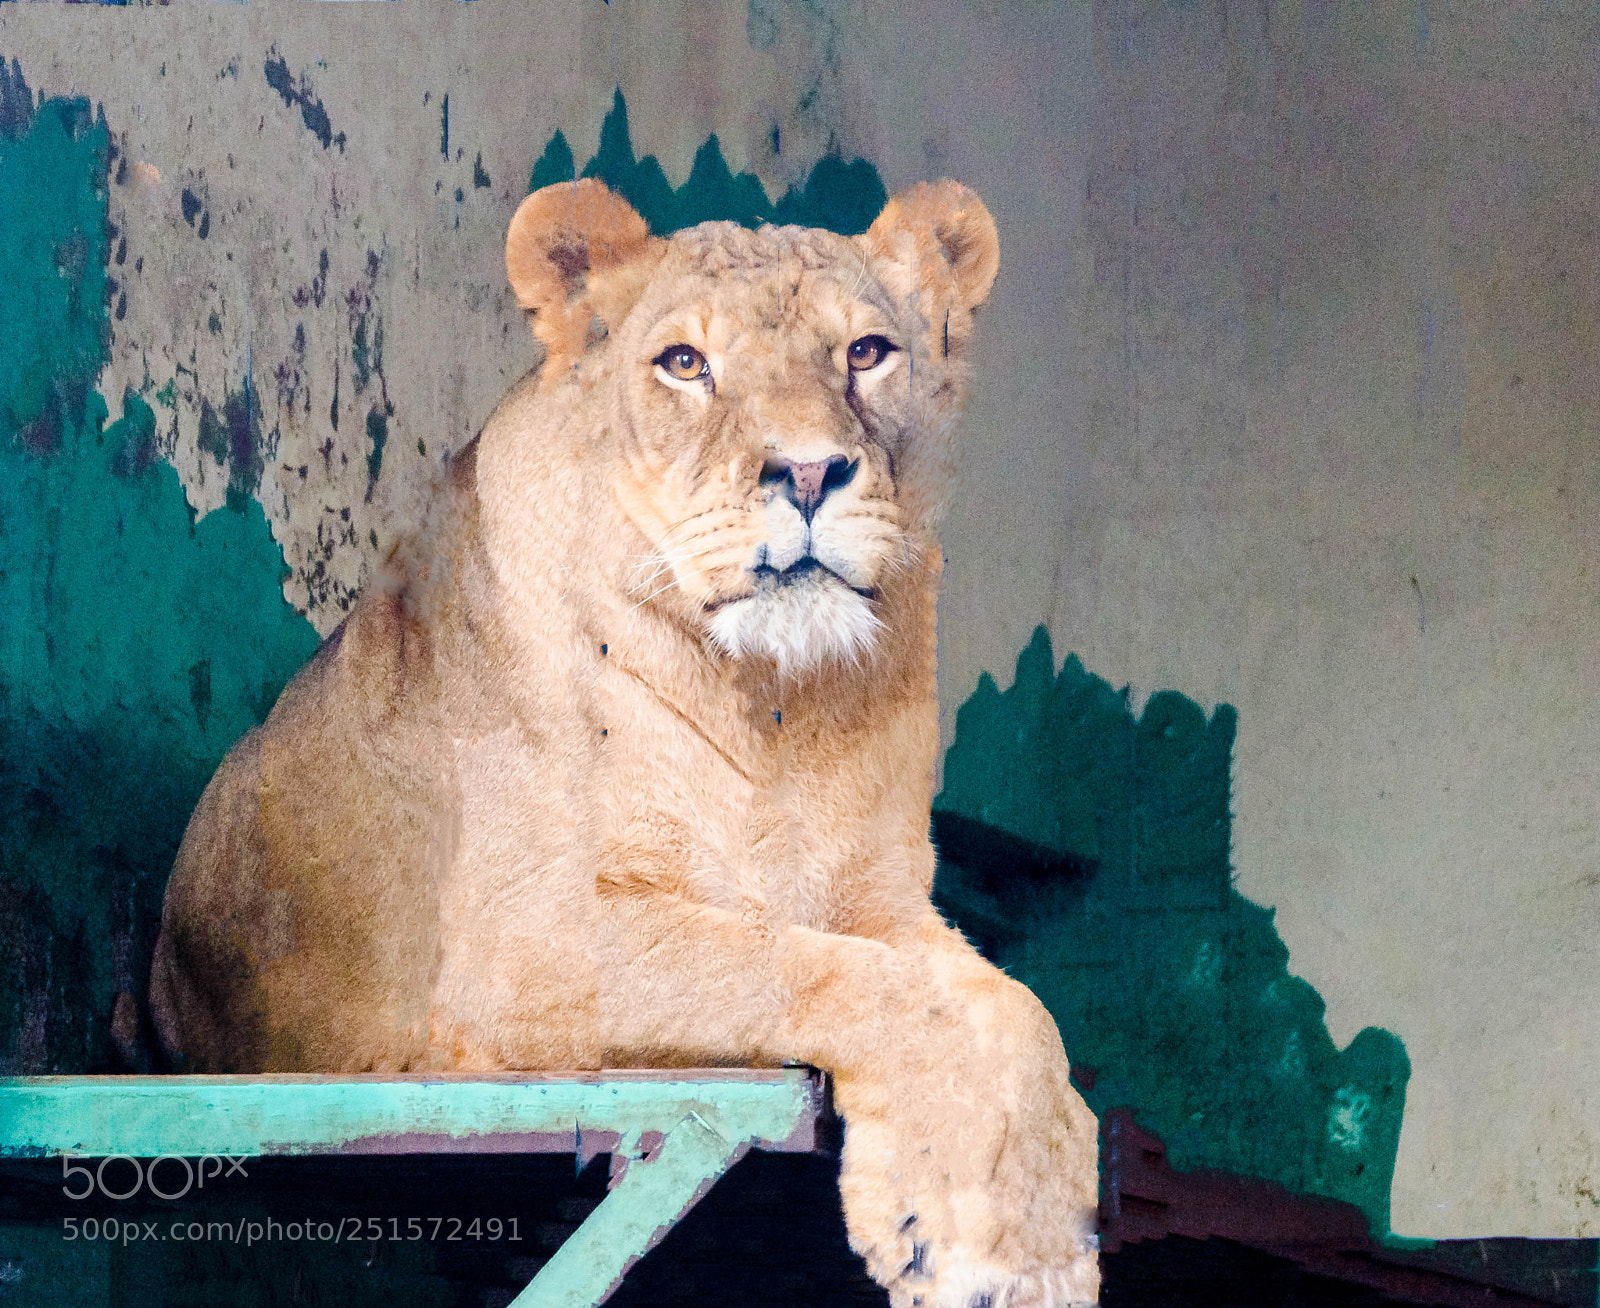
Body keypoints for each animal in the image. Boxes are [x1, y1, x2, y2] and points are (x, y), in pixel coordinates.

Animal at [148, 176, 1100, 1308]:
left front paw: (1035, 1229)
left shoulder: (890, 903)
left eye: (868, 352)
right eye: (684, 363)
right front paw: (979, 1241)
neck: (774, 706)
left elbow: (1015, 1009)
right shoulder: (519, 947)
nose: (808, 473)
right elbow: (819, 969)